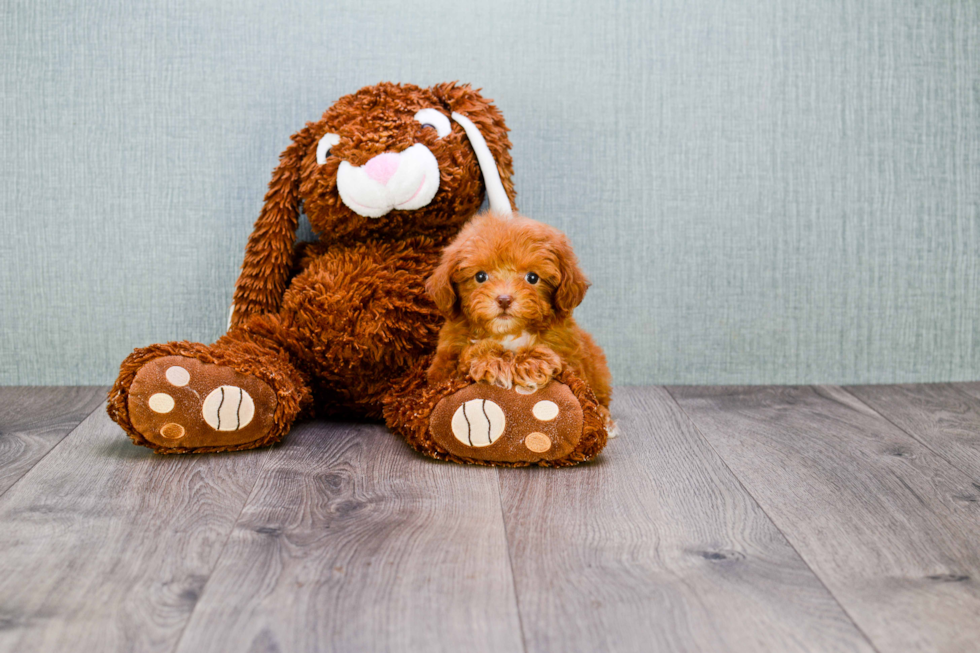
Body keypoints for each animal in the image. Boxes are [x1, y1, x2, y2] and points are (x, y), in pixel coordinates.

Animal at [426, 213, 612, 432]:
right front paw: (493, 361)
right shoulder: (443, 369)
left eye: (532, 277)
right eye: (480, 276)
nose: (504, 299)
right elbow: (463, 361)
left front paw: (533, 363)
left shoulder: (570, 354)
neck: (508, 332)